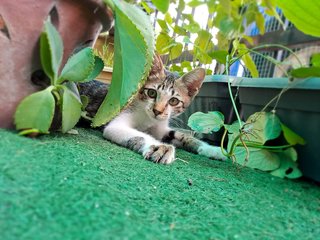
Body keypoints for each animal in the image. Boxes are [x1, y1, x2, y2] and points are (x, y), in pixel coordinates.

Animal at [79, 54, 226, 163]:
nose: (157, 111)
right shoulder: (117, 123)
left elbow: (183, 136)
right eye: (151, 93)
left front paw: (212, 149)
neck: (149, 120)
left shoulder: (162, 128)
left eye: (173, 101)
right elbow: (139, 134)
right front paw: (160, 147)